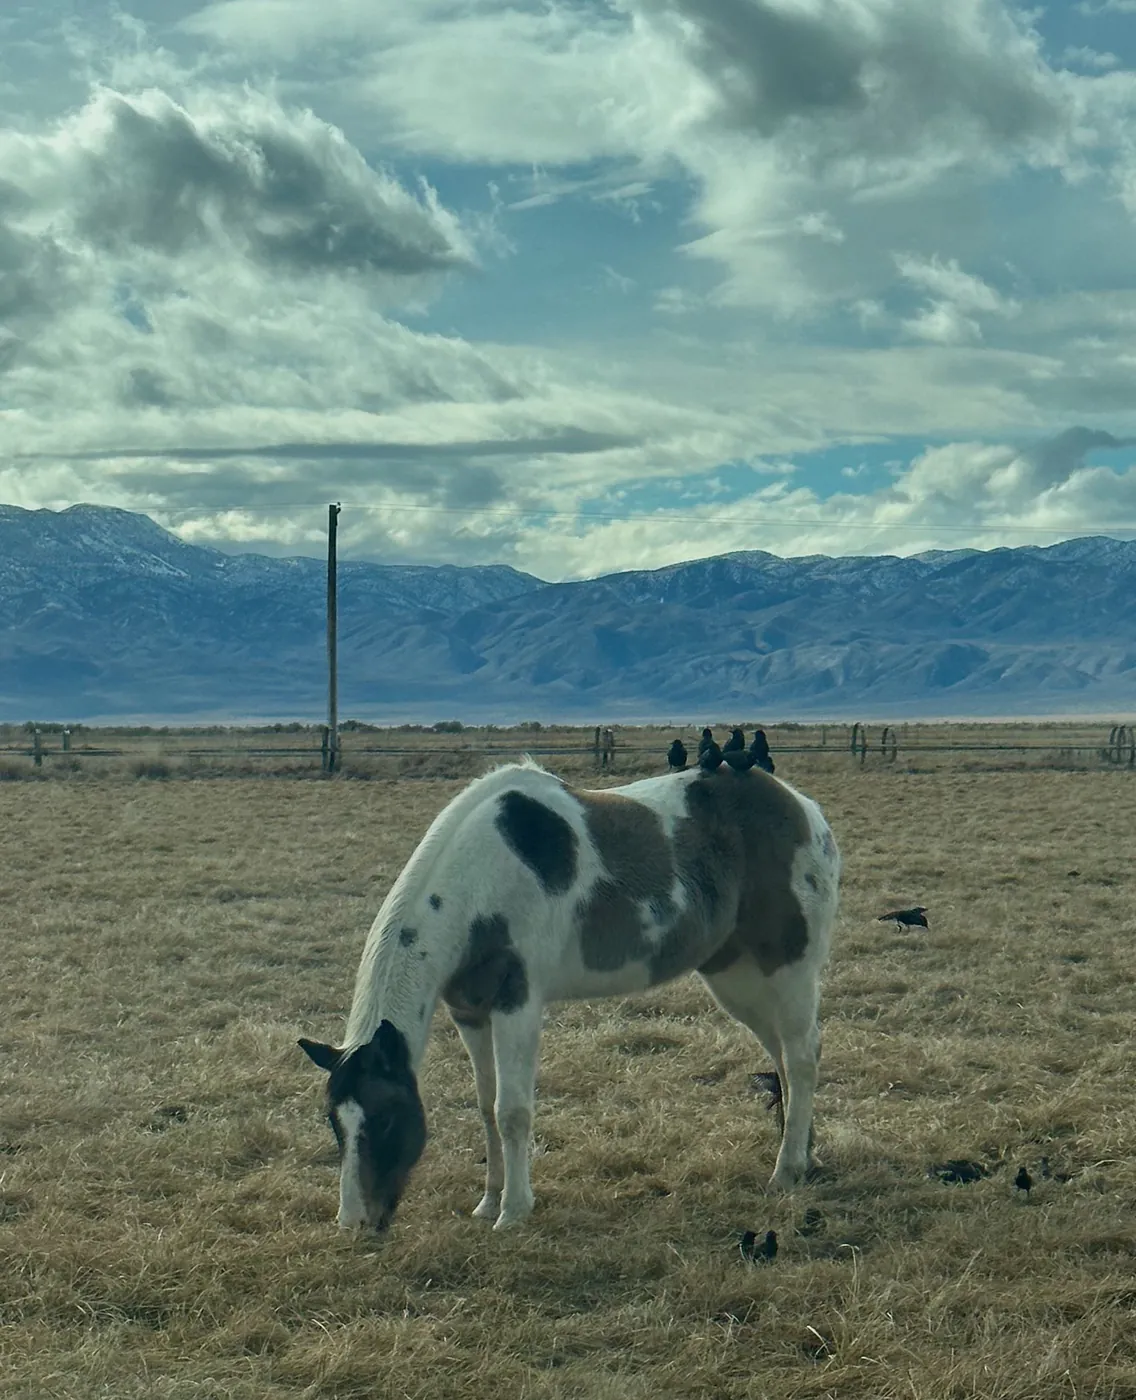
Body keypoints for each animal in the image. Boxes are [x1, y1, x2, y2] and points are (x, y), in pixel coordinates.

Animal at [299, 758, 841, 1235]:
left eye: (387, 1119)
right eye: (335, 1122)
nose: (355, 1222)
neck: (480, 881)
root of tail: (803, 810)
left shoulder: (517, 1004)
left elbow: (512, 1111)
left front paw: (513, 1211)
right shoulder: (470, 1012)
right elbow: (486, 1105)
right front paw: (488, 1201)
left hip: (787, 970)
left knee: (802, 1058)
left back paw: (786, 1171)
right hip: (737, 977)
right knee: (783, 1058)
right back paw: (804, 1154)